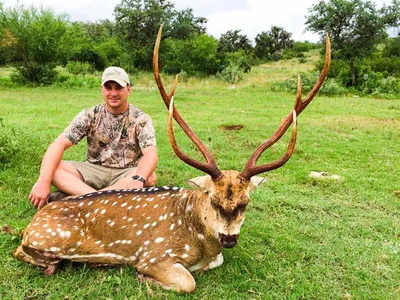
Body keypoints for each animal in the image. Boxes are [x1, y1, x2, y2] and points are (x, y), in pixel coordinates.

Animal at [5, 27, 332, 292]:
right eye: (214, 200)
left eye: (245, 203)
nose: (229, 240)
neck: (200, 241)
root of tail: (30, 224)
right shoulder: (154, 253)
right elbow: (187, 282)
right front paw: (143, 277)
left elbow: (216, 263)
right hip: (52, 237)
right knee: (20, 251)